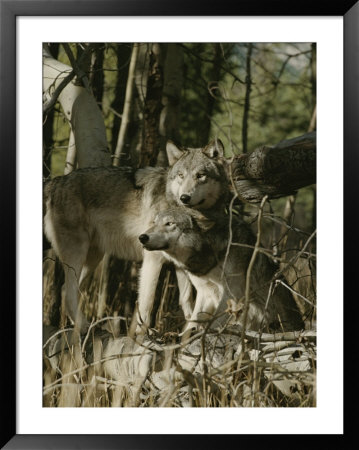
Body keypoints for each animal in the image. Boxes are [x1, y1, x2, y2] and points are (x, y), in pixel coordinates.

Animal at [43, 139, 228, 332]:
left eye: (200, 175)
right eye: (181, 175)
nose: (184, 197)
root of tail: (57, 181)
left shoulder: (181, 261)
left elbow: (186, 298)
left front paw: (190, 331)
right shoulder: (153, 258)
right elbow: (147, 301)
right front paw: (142, 332)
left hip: (93, 257)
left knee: (67, 288)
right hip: (77, 253)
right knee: (69, 290)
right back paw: (83, 325)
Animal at [139, 207, 306, 334]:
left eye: (169, 223)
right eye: (154, 223)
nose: (142, 237)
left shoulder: (232, 294)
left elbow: (212, 325)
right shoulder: (204, 293)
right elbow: (193, 322)